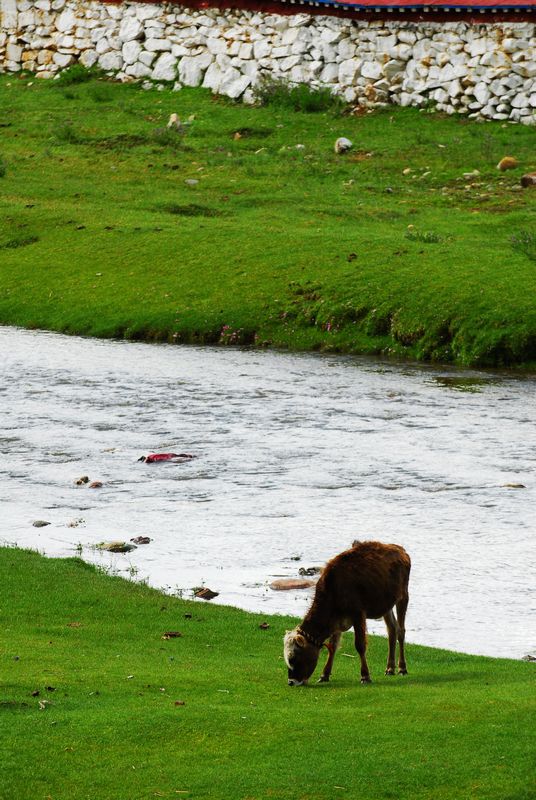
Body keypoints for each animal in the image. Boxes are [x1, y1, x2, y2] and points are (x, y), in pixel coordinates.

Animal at [284, 540, 410, 684]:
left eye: (293, 658)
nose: (291, 682)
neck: (333, 589)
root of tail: (399, 549)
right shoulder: (335, 620)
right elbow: (333, 646)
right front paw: (324, 675)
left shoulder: (358, 614)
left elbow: (360, 645)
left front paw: (365, 675)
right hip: (386, 604)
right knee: (392, 630)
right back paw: (390, 668)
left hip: (403, 596)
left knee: (401, 631)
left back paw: (402, 668)